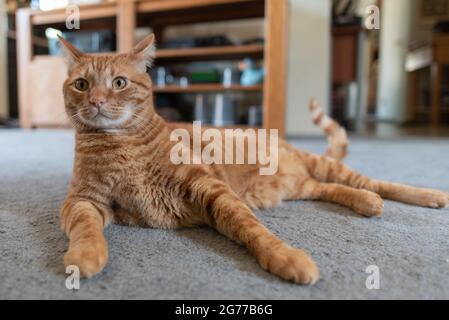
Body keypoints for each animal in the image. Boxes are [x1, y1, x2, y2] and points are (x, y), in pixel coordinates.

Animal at [59, 35, 448, 284]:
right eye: (81, 85)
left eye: (119, 83)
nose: (95, 101)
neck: (120, 144)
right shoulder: (83, 200)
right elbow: (85, 227)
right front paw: (85, 256)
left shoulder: (209, 187)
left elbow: (251, 228)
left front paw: (284, 256)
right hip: (302, 186)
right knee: (330, 188)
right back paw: (367, 202)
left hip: (323, 165)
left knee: (373, 181)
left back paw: (428, 195)